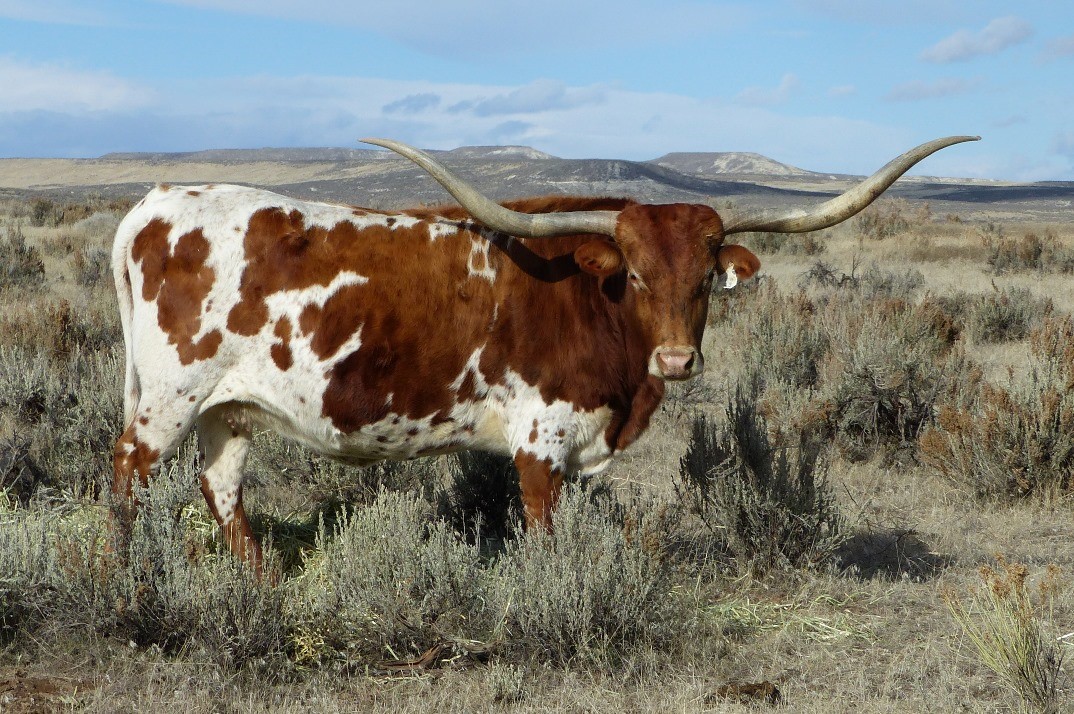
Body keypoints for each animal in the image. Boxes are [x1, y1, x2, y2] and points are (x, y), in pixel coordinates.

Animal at [112, 135, 977, 574]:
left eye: (704, 278)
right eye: (634, 274)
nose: (676, 362)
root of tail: (159, 201)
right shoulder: (541, 440)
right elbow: (544, 533)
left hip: (228, 406)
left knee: (222, 486)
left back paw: (260, 584)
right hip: (168, 399)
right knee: (127, 474)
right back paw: (124, 581)